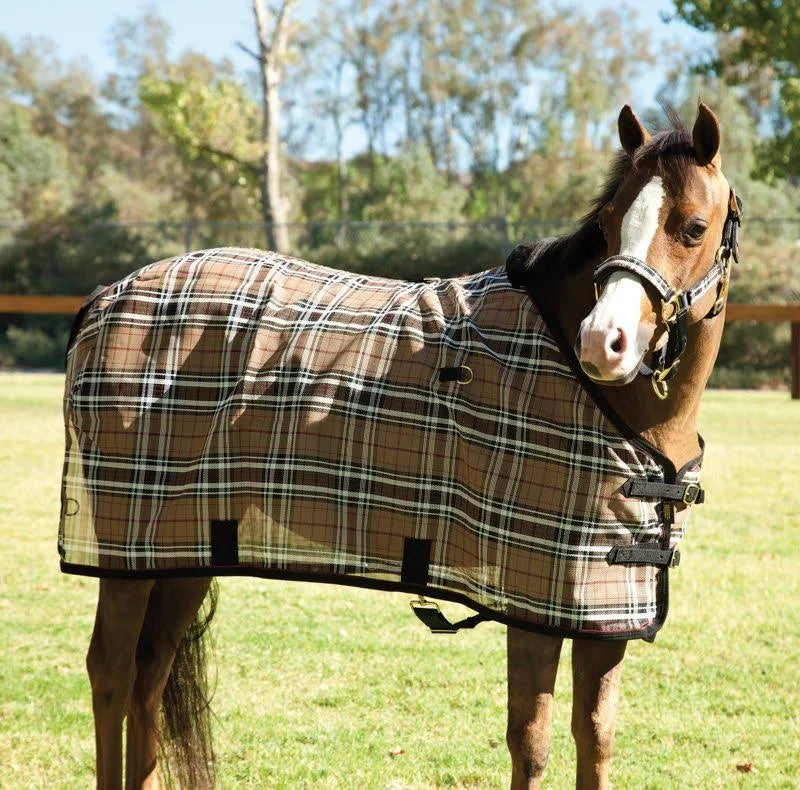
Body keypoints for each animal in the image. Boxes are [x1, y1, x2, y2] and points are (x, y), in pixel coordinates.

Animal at [64, 103, 740, 788]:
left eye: (693, 226)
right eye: (607, 223)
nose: (604, 341)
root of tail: (107, 297)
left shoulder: (601, 613)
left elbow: (594, 739)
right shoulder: (531, 602)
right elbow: (532, 742)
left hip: (179, 551)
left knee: (151, 674)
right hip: (125, 552)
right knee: (113, 675)